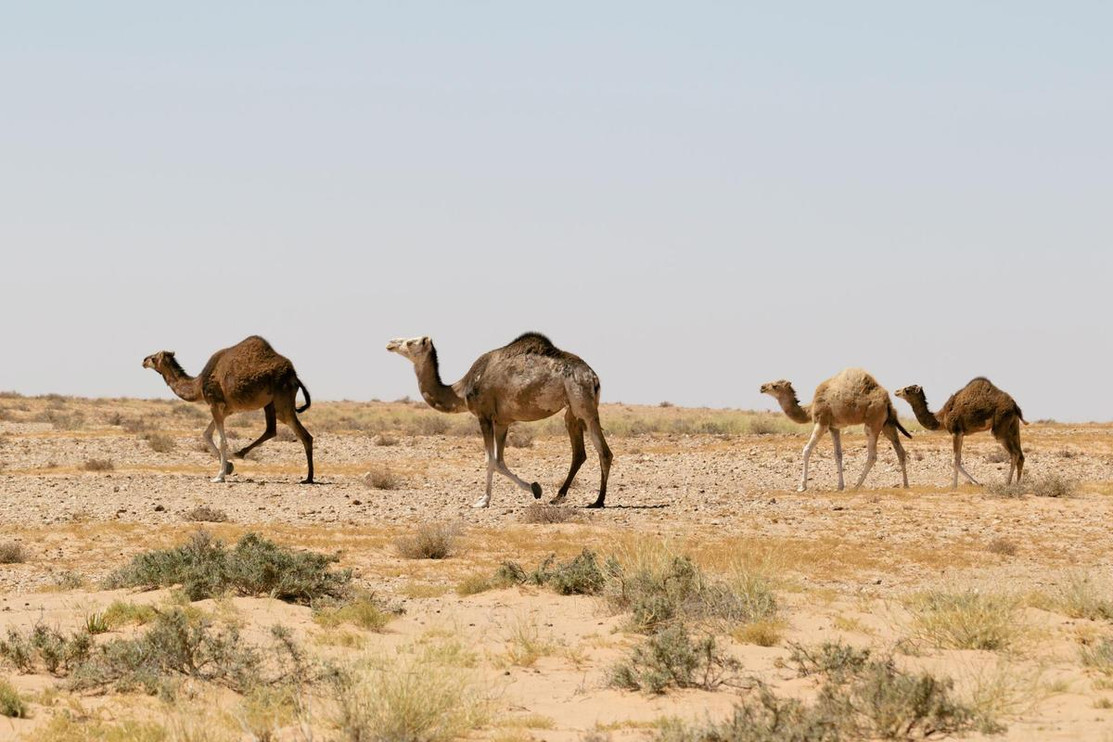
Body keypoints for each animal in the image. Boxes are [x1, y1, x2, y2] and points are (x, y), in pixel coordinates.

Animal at [142, 335, 314, 483]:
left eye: (153, 358)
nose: (143, 360)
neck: (199, 384)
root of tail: (294, 376)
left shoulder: (214, 403)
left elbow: (221, 440)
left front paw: (220, 476)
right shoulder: (227, 409)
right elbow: (206, 434)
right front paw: (229, 467)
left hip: (281, 400)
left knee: (286, 429)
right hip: (272, 403)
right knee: (293, 433)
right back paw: (308, 478)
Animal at [386, 332, 613, 508]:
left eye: (410, 342)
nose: (390, 343)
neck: (461, 390)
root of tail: (593, 377)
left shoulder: (484, 415)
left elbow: (489, 459)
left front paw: (483, 501)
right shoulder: (502, 421)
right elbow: (500, 461)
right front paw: (535, 488)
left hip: (582, 401)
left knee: (603, 451)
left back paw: (598, 501)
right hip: (572, 410)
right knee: (580, 452)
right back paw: (560, 497)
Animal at [760, 368, 911, 492]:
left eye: (775, 385)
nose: (762, 387)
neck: (810, 409)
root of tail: (888, 402)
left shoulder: (822, 422)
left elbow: (806, 450)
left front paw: (802, 486)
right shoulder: (834, 427)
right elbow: (838, 454)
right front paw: (840, 486)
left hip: (873, 422)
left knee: (872, 455)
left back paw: (856, 486)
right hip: (887, 423)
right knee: (900, 451)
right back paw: (905, 484)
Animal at [895, 378, 1027, 488]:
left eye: (907, 389)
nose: (896, 391)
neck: (941, 418)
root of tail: (1015, 406)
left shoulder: (955, 431)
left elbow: (954, 461)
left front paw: (967, 484)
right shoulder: (962, 434)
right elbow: (958, 459)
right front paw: (960, 484)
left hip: (1000, 427)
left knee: (1014, 453)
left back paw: (1008, 483)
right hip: (1013, 426)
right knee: (1020, 455)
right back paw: (1018, 483)